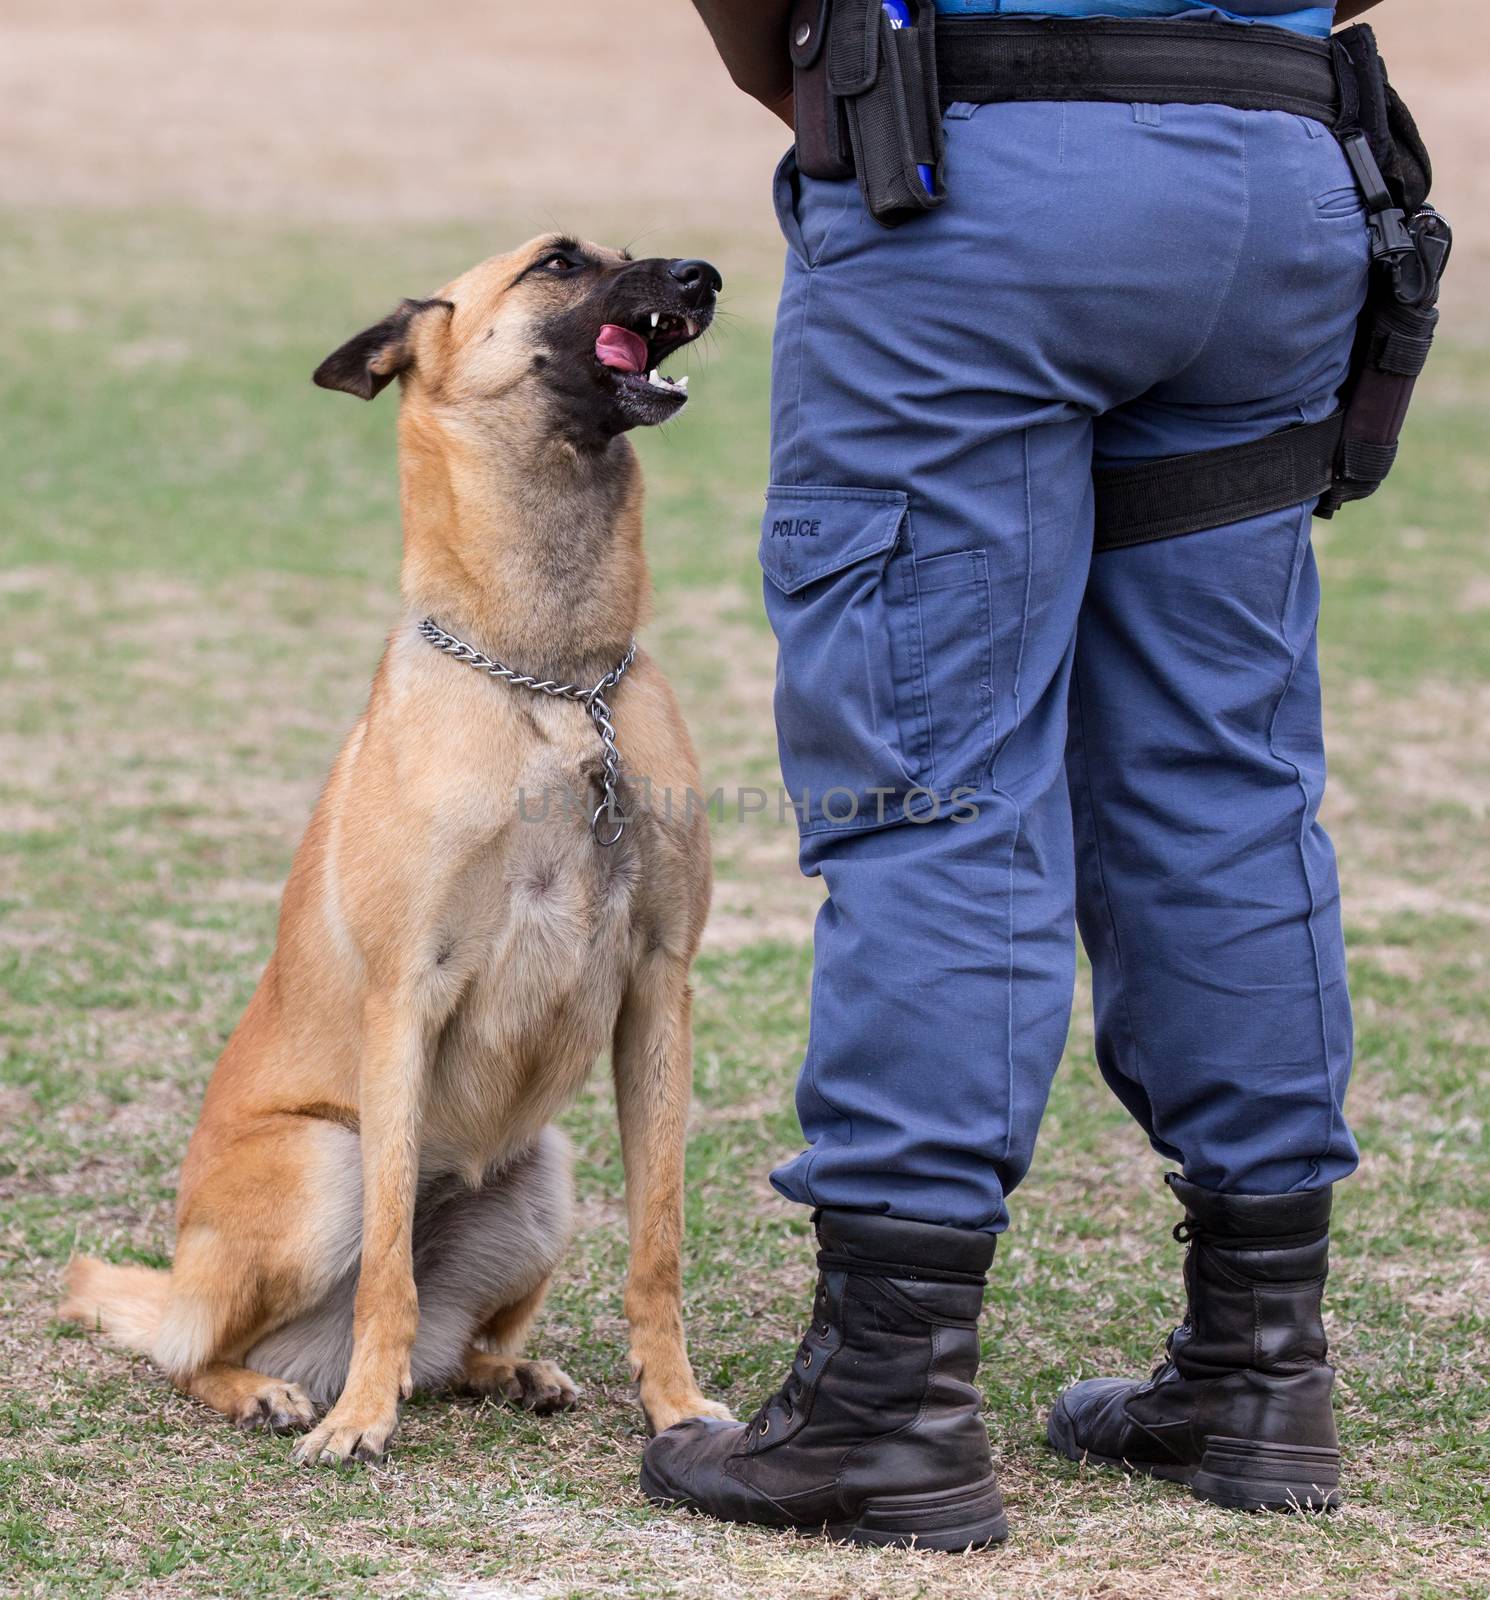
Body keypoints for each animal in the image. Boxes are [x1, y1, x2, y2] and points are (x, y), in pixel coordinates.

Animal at [61, 232, 729, 1465]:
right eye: (560, 261)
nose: (704, 274)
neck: (555, 684)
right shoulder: (402, 998)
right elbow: (386, 1274)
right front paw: (362, 1422)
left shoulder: (661, 987)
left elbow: (655, 1247)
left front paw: (674, 1405)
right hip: (324, 1166)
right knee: (195, 1349)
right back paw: (278, 1391)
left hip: (541, 1179)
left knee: (453, 1345)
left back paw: (503, 1369)